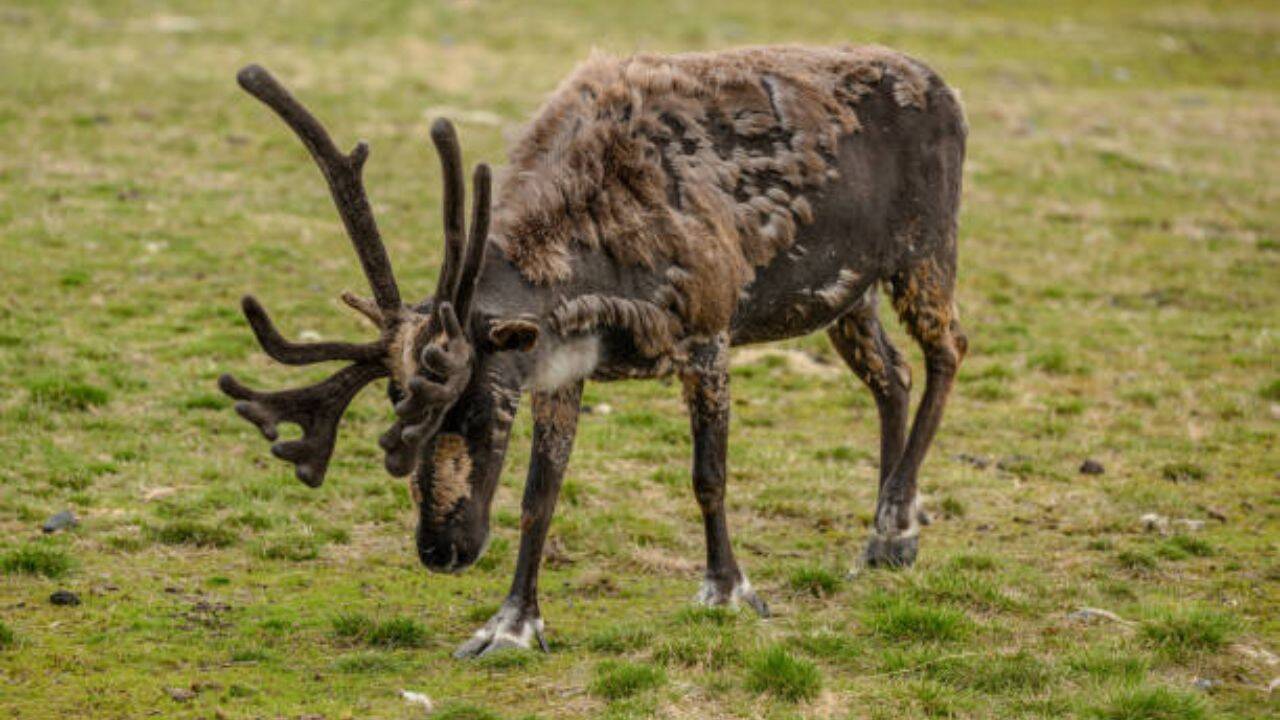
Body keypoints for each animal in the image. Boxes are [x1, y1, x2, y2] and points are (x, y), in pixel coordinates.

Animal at [218, 44, 967, 657]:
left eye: (483, 411)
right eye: (396, 400)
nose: (440, 551)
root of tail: (942, 84)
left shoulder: (707, 336)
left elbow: (709, 476)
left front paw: (729, 589)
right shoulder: (560, 369)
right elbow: (539, 496)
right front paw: (512, 624)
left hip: (925, 252)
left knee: (949, 351)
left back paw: (891, 524)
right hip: (849, 293)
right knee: (893, 377)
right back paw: (892, 528)